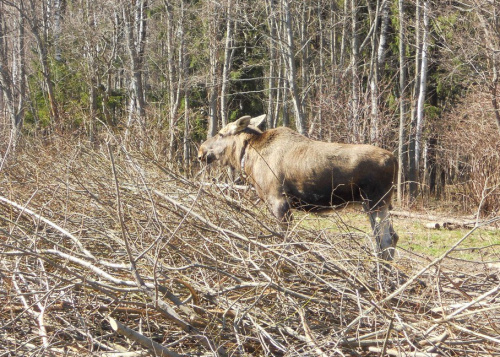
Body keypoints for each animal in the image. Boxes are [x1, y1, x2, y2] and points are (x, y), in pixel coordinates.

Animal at [198, 114, 398, 258]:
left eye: (221, 133)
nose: (201, 150)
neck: (248, 158)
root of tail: (394, 160)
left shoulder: (279, 200)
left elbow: (285, 239)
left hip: (375, 202)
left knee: (385, 240)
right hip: (376, 204)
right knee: (391, 237)